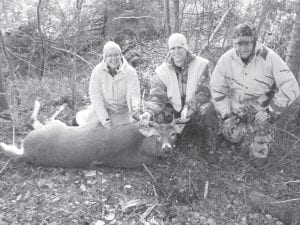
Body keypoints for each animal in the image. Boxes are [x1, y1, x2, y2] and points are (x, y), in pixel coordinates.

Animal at [0, 101, 186, 168]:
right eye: (157, 135)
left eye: (173, 135)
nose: (167, 148)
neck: (142, 145)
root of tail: (26, 152)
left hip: (53, 127)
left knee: (36, 120)